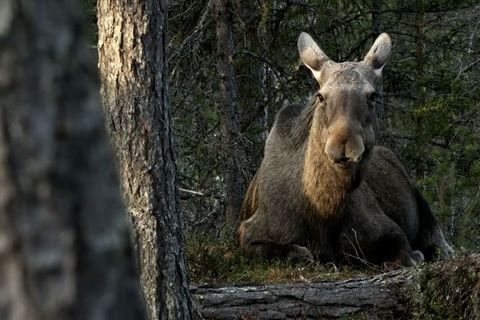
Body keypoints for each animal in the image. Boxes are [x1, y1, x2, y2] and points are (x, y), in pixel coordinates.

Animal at [240, 33, 454, 268]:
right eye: (321, 96)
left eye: (372, 96)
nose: (343, 147)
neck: (324, 213)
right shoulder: (249, 232)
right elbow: (299, 252)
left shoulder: (390, 230)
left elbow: (401, 256)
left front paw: (416, 255)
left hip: (423, 206)